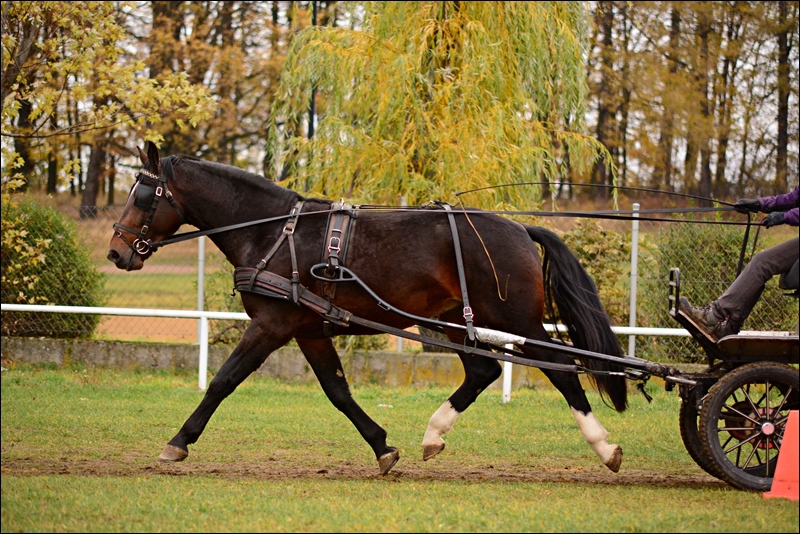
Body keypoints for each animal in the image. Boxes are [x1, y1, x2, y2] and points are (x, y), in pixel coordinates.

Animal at [108, 142, 632, 478]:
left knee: (561, 368)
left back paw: (604, 446)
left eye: (142, 195)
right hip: (455, 321)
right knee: (484, 371)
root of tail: (521, 229)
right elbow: (338, 391)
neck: (275, 232)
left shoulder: (271, 324)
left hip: (514, 320)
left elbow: (223, 380)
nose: (116, 252)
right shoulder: (308, 329)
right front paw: (382, 446)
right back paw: (434, 434)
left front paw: (178, 443)